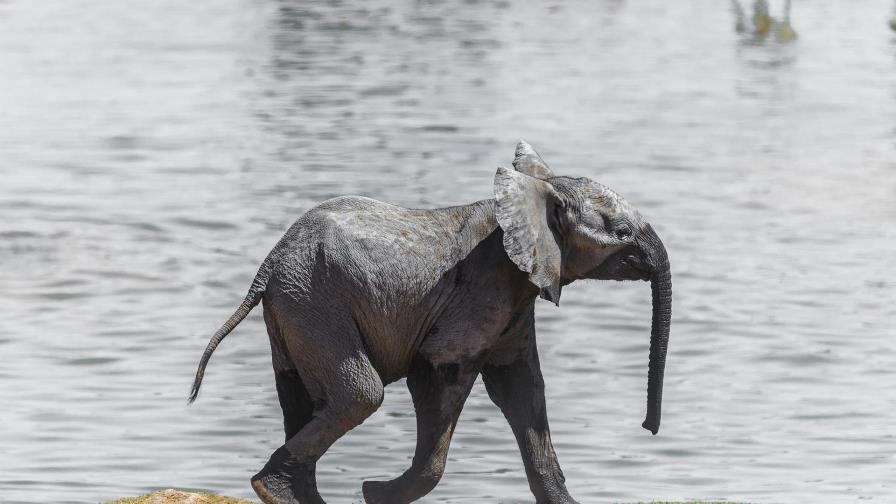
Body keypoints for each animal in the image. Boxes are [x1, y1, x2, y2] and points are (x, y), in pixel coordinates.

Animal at [188, 141, 672, 504]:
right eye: (621, 233)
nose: (648, 428)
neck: (531, 195)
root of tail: (268, 265)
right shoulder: (483, 289)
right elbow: (438, 373)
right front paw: (375, 493)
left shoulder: (516, 299)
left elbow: (521, 388)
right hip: (314, 301)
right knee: (361, 395)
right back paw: (275, 490)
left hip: (295, 305)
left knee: (300, 395)